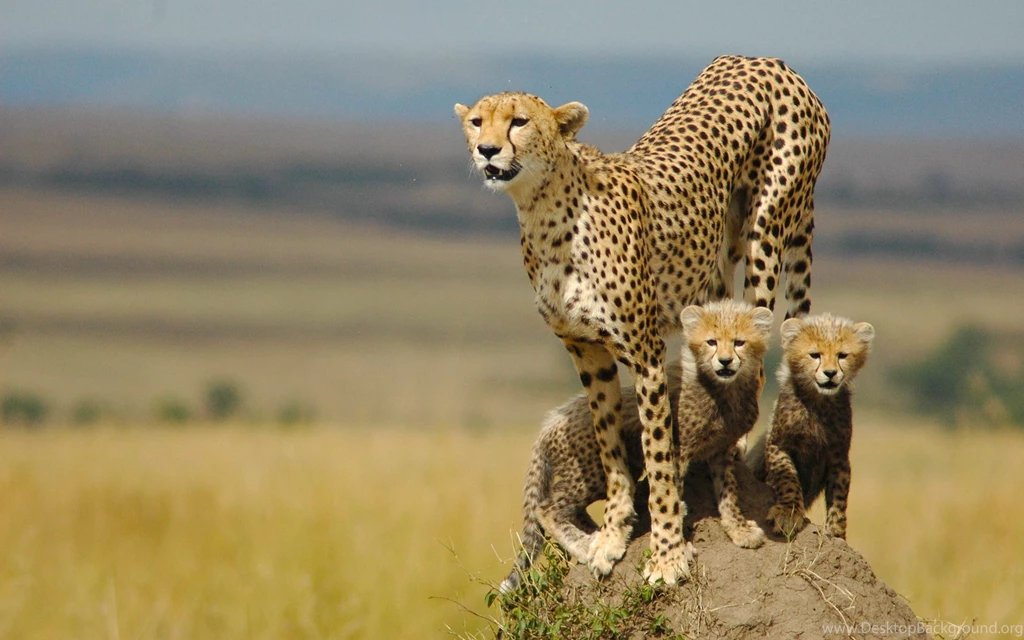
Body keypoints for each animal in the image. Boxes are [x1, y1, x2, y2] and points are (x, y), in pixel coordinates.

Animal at [500, 300, 772, 593]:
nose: (725, 361)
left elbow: (728, 493)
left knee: (574, 510)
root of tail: (551, 420)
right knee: (547, 508)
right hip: (592, 472)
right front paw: (679, 548)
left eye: (739, 342)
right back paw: (586, 546)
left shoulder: (722, 451)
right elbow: (671, 497)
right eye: (711, 342)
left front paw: (739, 529)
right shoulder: (678, 450)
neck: (724, 389)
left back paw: (605, 534)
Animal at [747, 313, 875, 539]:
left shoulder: (838, 456)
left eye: (842, 355)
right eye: (815, 355)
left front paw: (836, 531)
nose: (830, 373)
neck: (818, 401)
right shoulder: (778, 445)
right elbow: (787, 479)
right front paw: (788, 514)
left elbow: (839, 496)